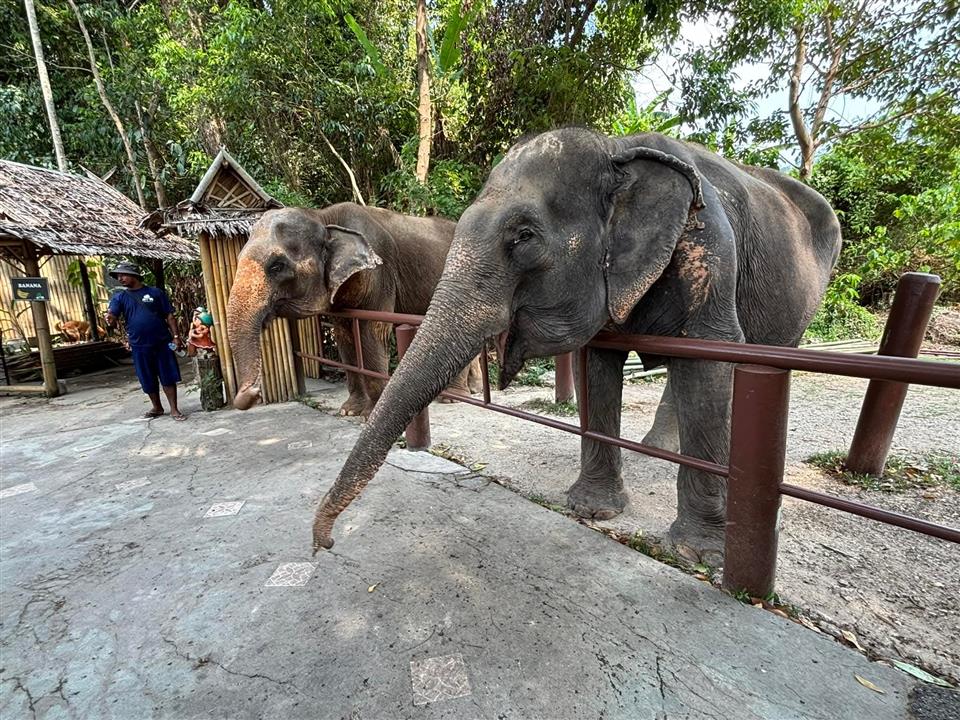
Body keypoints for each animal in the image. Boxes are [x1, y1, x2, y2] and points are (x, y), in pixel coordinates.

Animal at [226, 203, 482, 415]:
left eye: (277, 266)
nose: (252, 393)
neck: (323, 217)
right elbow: (344, 335)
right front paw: (349, 411)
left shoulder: (379, 272)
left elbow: (371, 332)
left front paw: (370, 414)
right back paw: (474, 390)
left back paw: (452, 398)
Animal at [310, 128, 842, 564]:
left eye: (523, 237)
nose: (325, 544)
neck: (617, 149)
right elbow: (600, 362)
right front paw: (591, 509)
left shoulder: (707, 240)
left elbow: (712, 352)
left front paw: (697, 553)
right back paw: (656, 450)